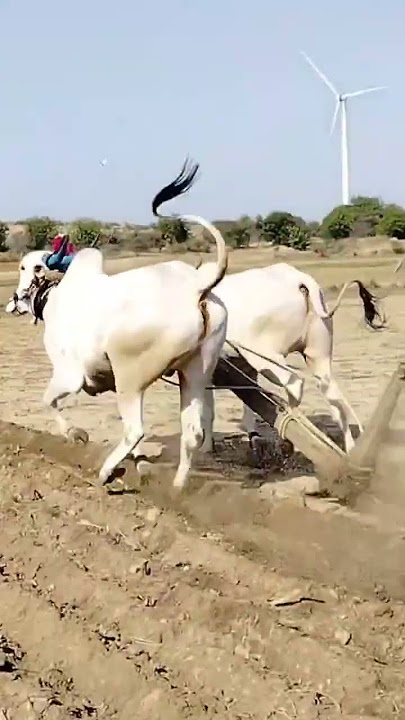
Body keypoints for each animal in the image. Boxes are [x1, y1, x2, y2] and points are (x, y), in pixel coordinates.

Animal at [5, 159, 228, 490]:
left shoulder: (69, 376)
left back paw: (106, 472)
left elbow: (48, 402)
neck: (54, 297)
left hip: (130, 378)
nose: (13, 302)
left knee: (135, 430)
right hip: (195, 373)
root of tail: (196, 287)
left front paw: (77, 435)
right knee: (192, 434)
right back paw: (176, 488)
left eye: (25, 267)